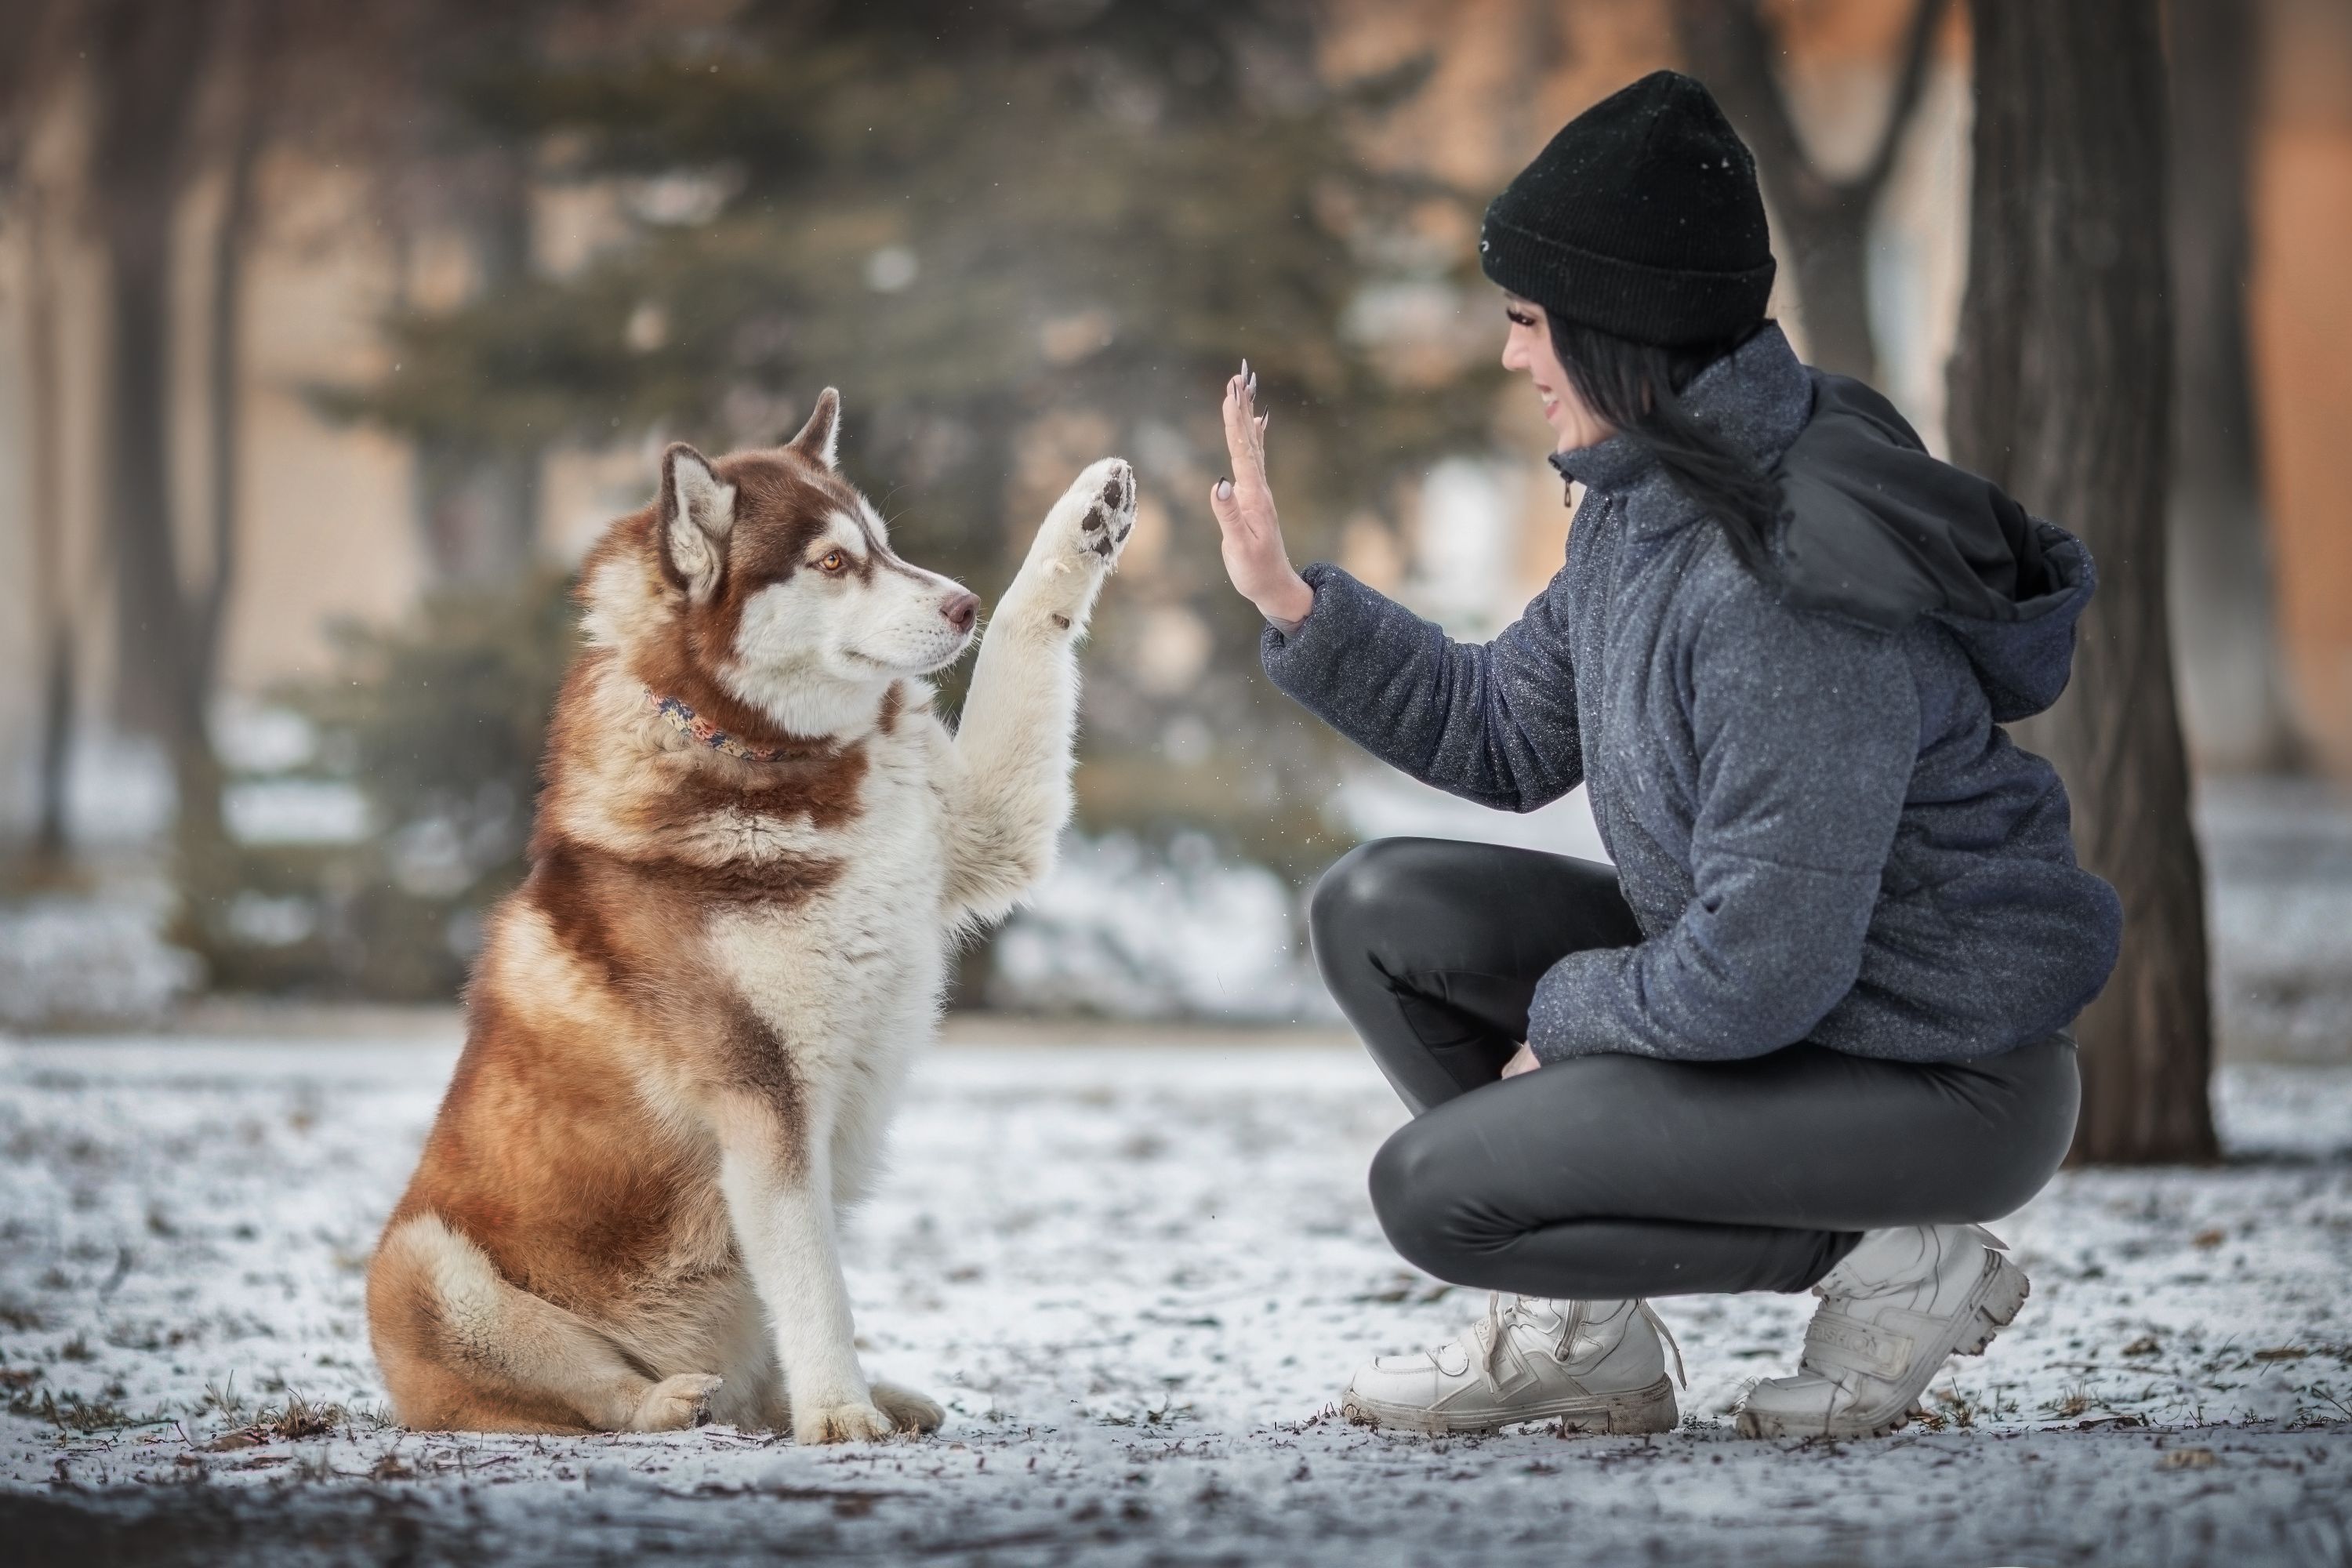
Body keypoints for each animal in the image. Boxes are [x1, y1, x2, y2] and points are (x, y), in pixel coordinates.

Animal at [365, 394, 1129, 1448]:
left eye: (885, 545)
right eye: (834, 563)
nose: (959, 604)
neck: (769, 754)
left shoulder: (985, 827)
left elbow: (1031, 622)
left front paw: (1089, 514)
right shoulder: (765, 1098)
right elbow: (817, 1283)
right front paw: (840, 1411)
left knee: (748, 1377)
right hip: (423, 1268)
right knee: (590, 1391)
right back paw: (667, 1399)